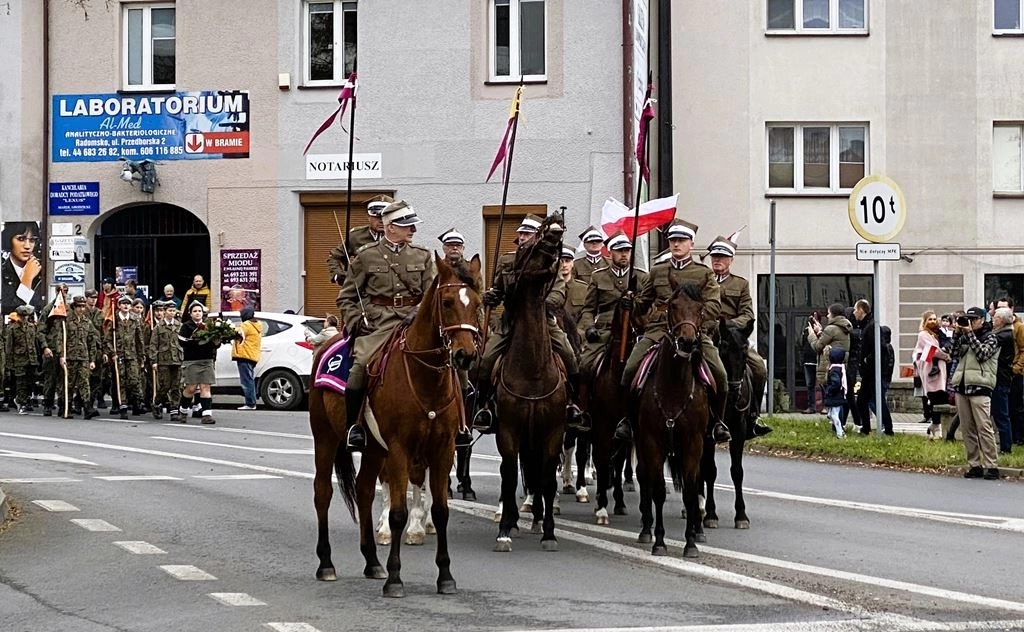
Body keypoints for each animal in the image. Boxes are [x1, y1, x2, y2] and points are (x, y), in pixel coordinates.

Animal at [307, 253, 483, 598]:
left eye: (478, 304)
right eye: (446, 302)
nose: (465, 356)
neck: (425, 377)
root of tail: (327, 343)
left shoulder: (442, 449)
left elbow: (441, 511)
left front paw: (445, 576)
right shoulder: (401, 448)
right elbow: (398, 512)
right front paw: (395, 578)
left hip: (374, 447)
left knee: (364, 490)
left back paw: (372, 561)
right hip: (326, 437)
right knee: (323, 492)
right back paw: (326, 564)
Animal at [634, 280, 708, 557]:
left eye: (700, 308)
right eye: (673, 306)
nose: (687, 342)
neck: (675, 386)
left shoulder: (694, 443)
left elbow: (690, 490)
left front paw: (691, 542)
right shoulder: (652, 441)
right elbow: (657, 491)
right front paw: (659, 541)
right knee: (643, 476)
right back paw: (646, 529)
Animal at [700, 317, 757, 528]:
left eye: (745, 351)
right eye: (722, 349)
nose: (734, 391)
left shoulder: (739, 430)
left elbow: (737, 471)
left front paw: (741, 515)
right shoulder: (708, 434)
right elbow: (710, 471)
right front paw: (710, 514)